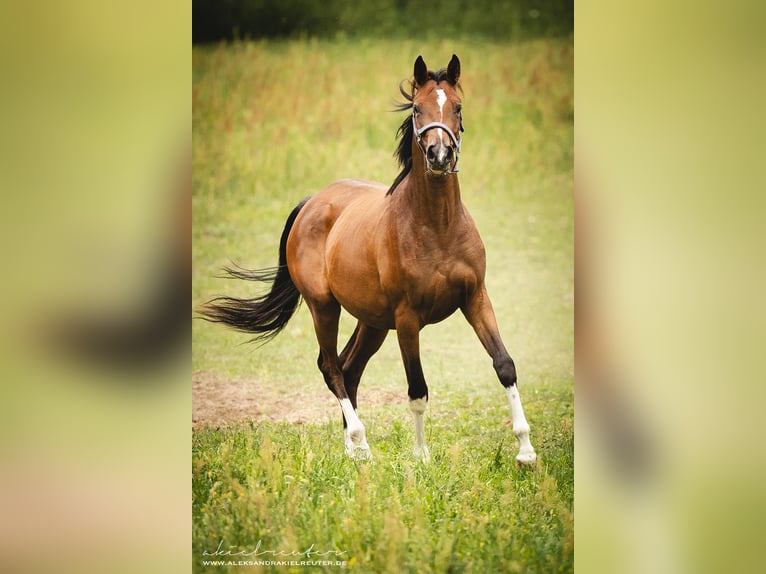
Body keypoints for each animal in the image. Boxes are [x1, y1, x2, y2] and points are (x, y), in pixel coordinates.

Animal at [204, 54, 540, 466]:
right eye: (417, 108)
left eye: (458, 107)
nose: (439, 156)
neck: (437, 226)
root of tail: (313, 202)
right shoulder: (408, 319)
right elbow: (417, 388)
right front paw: (421, 456)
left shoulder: (475, 297)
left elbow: (504, 365)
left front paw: (525, 450)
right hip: (325, 308)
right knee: (331, 366)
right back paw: (360, 442)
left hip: (374, 322)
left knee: (349, 368)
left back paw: (352, 450)